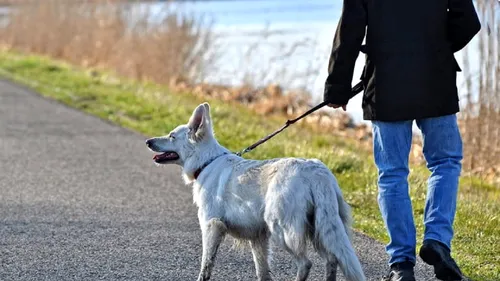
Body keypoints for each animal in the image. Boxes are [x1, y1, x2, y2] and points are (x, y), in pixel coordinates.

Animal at [146, 103, 366, 280]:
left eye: (171, 136)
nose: (148, 142)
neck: (207, 162)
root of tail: (316, 171)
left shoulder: (212, 226)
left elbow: (206, 265)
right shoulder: (258, 238)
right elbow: (262, 271)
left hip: (282, 230)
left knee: (306, 263)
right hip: (321, 228)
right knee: (332, 259)